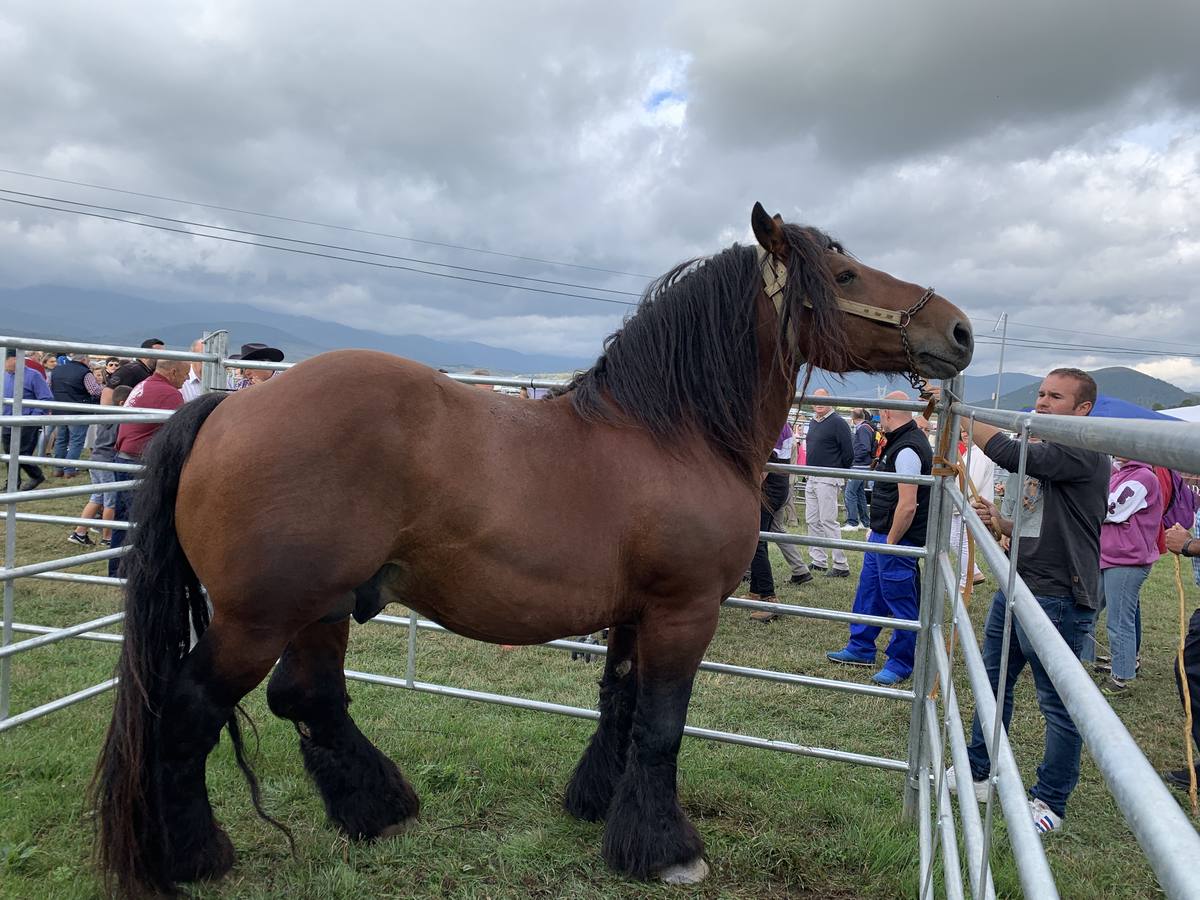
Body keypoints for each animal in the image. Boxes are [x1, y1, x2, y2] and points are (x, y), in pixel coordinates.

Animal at [93, 202, 974, 897]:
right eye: (847, 273)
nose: (959, 329)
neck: (674, 433)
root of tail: (227, 409)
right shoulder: (684, 612)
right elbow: (662, 725)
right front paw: (667, 852)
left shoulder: (636, 614)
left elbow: (619, 704)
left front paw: (598, 807)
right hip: (258, 618)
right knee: (190, 708)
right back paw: (194, 856)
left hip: (322, 607)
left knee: (308, 697)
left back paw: (381, 810)